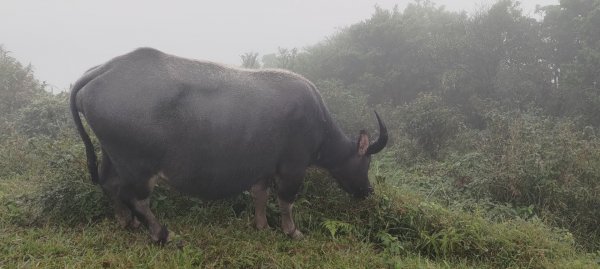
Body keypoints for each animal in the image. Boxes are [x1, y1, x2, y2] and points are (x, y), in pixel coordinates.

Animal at [70, 47, 390, 242]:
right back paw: (162, 234)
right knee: (135, 197)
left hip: (111, 153)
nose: (367, 191)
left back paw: (127, 223)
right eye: (366, 162)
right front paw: (292, 231)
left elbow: (260, 195)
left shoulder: (263, 166)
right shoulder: (293, 167)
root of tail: (105, 69)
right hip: (137, 165)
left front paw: (262, 225)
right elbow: (286, 201)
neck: (317, 121)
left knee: (110, 185)